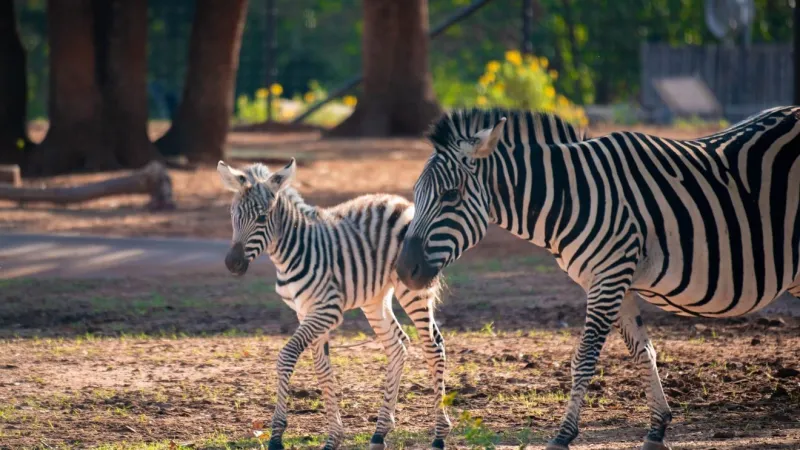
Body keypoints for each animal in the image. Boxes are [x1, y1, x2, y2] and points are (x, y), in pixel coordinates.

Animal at [217, 159, 451, 450]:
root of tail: (402, 202)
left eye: (261, 218)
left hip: (412, 288)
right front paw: (333, 438)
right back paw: (380, 432)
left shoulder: (326, 310)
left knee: (434, 345)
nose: (232, 264)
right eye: (233, 215)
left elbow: (287, 357)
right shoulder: (305, 311)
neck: (292, 251)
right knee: (397, 345)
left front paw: (276, 436)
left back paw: (439, 434)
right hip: (374, 297)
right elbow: (322, 368)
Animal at [395, 106, 800, 450]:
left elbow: (584, 357)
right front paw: (657, 429)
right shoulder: (610, 281)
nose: (402, 270)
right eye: (414, 194)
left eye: (451, 195)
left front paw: (563, 435)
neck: (570, 197)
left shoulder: (609, 276)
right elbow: (643, 352)